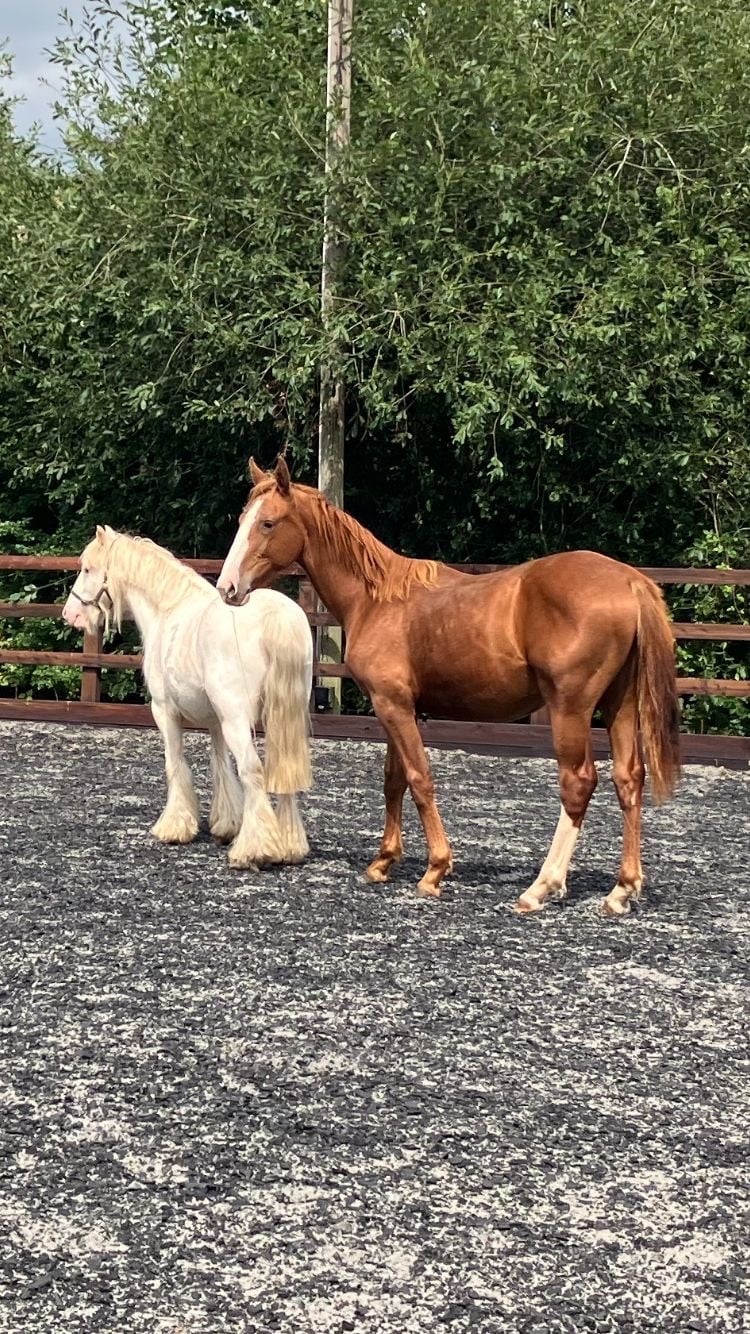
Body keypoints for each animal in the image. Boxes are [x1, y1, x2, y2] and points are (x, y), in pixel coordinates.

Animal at [63, 525, 312, 868]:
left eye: (88, 569)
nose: (69, 614)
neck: (168, 609)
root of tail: (276, 614)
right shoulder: (215, 721)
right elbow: (220, 765)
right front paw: (226, 825)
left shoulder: (164, 712)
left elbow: (176, 764)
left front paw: (174, 828)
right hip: (283, 719)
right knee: (284, 772)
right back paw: (288, 847)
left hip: (239, 721)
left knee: (253, 771)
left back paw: (253, 850)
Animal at [217, 457, 681, 916]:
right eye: (243, 519)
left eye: (268, 523)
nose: (227, 588)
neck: (376, 600)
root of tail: (628, 581)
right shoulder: (395, 707)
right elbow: (394, 780)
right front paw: (383, 862)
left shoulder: (393, 706)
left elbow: (419, 778)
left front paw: (435, 870)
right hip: (620, 705)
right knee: (628, 779)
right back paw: (621, 890)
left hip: (571, 708)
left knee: (578, 783)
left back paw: (541, 887)